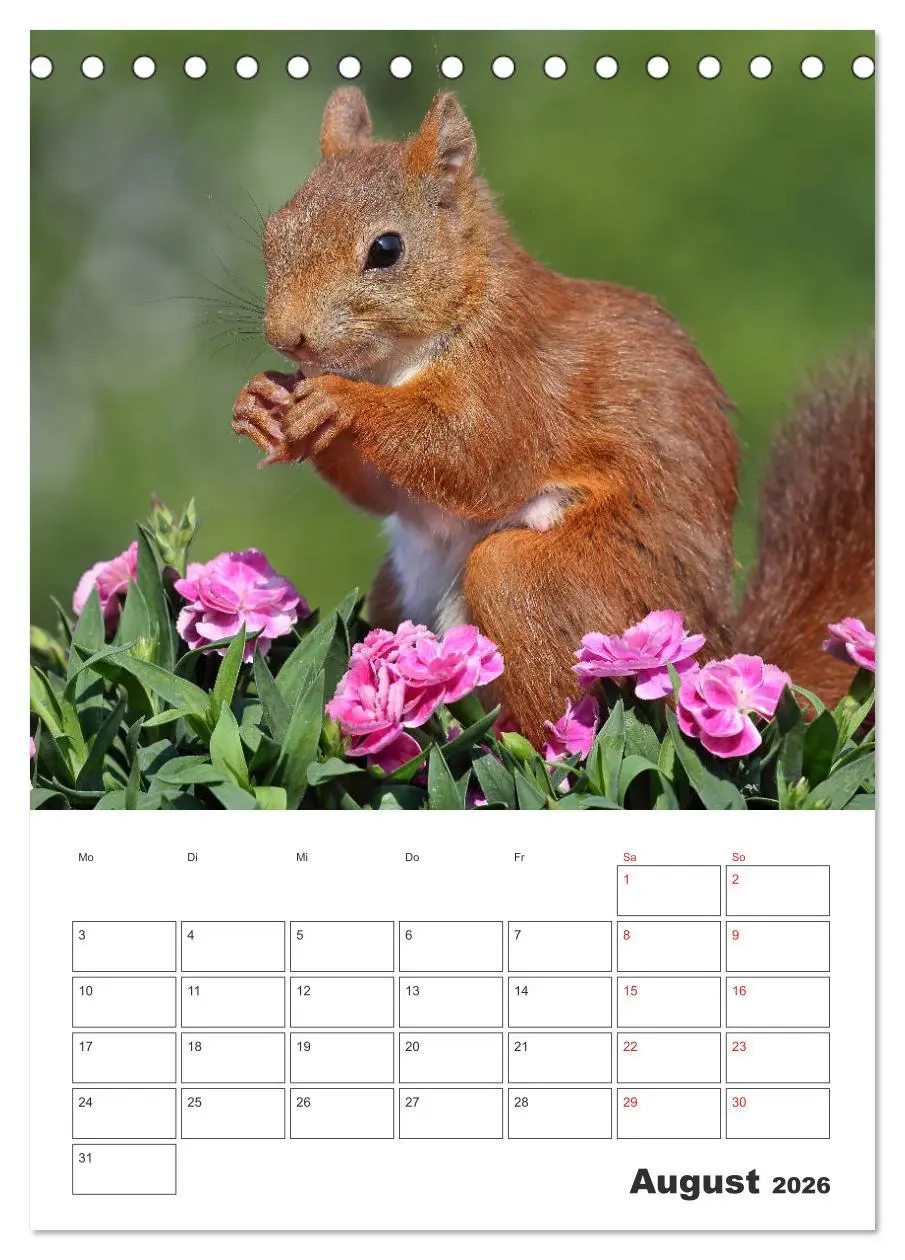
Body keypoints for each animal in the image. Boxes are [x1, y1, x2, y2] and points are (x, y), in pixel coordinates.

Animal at [232, 88, 874, 744]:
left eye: (386, 250)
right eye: (276, 230)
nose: (287, 337)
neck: (399, 361)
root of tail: (717, 645)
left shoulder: (519, 377)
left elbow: (473, 457)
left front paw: (339, 400)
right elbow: (388, 492)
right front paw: (263, 402)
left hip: (572, 585)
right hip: (395, 589)